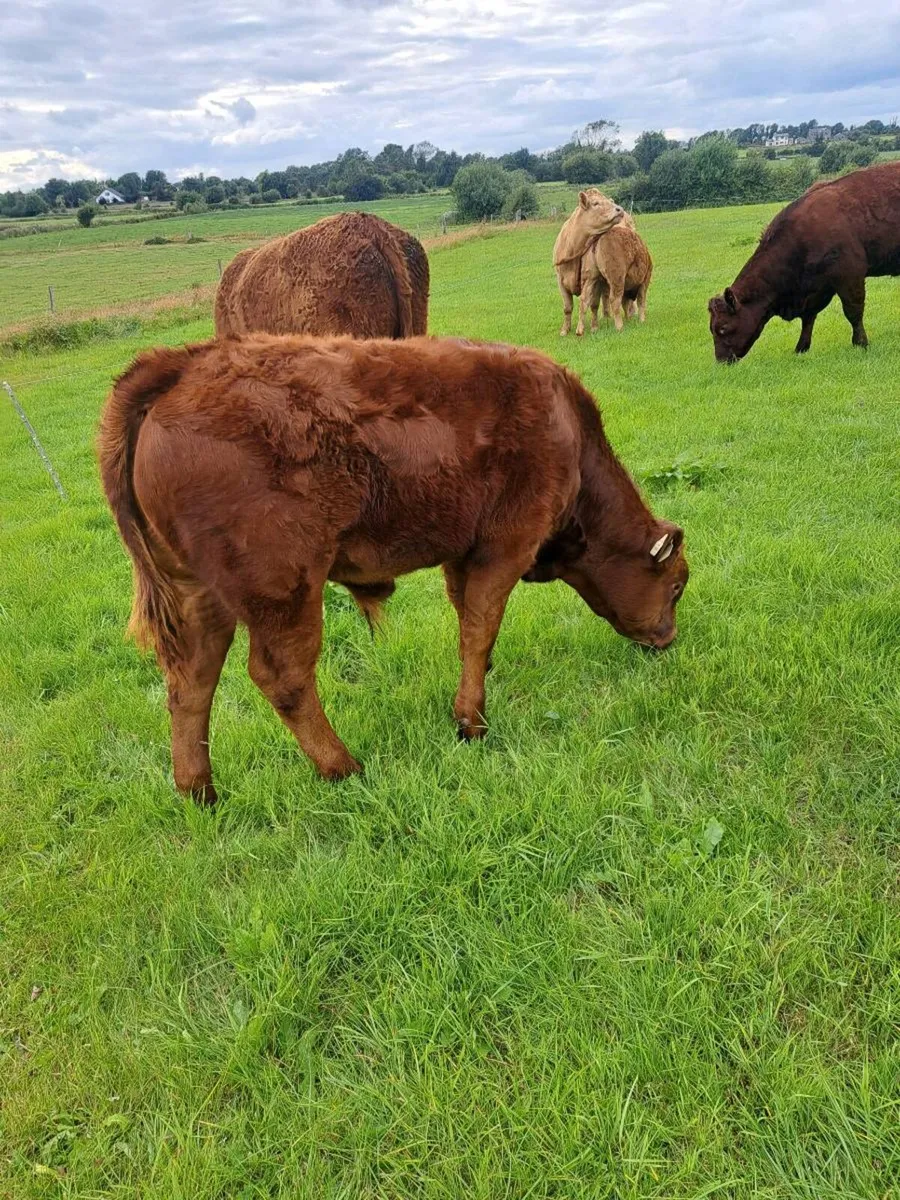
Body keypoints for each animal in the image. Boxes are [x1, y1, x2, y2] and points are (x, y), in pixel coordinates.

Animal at [98, 335, 688, 802]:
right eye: (677, 585)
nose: (667, 639)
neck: (566, 430)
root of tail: (181, 366)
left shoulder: (462, 556)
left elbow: (472, 628)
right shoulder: (504, 548)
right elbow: (480, 628)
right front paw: (471, 722)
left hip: (200, 597)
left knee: (192, 681)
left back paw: (200, 792)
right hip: (285, 590)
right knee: (282, 677)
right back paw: (343, 767)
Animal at [553, 190, 626, 335]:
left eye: (610, 201)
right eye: (595, 203)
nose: (619, 209)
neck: (573, 246)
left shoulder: (591, 278)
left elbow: (586, 303)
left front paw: (584, 328)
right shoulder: (560, 280)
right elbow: (567, 307)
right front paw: (565, 330)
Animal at [709, 160, 900, 361]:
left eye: (723, 328)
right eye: (711, 329)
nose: (721, 360)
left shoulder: (849, 275)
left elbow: (853, 311)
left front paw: (860, 343)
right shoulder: (816, 287)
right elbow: (808, 317)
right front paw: (801, 348)